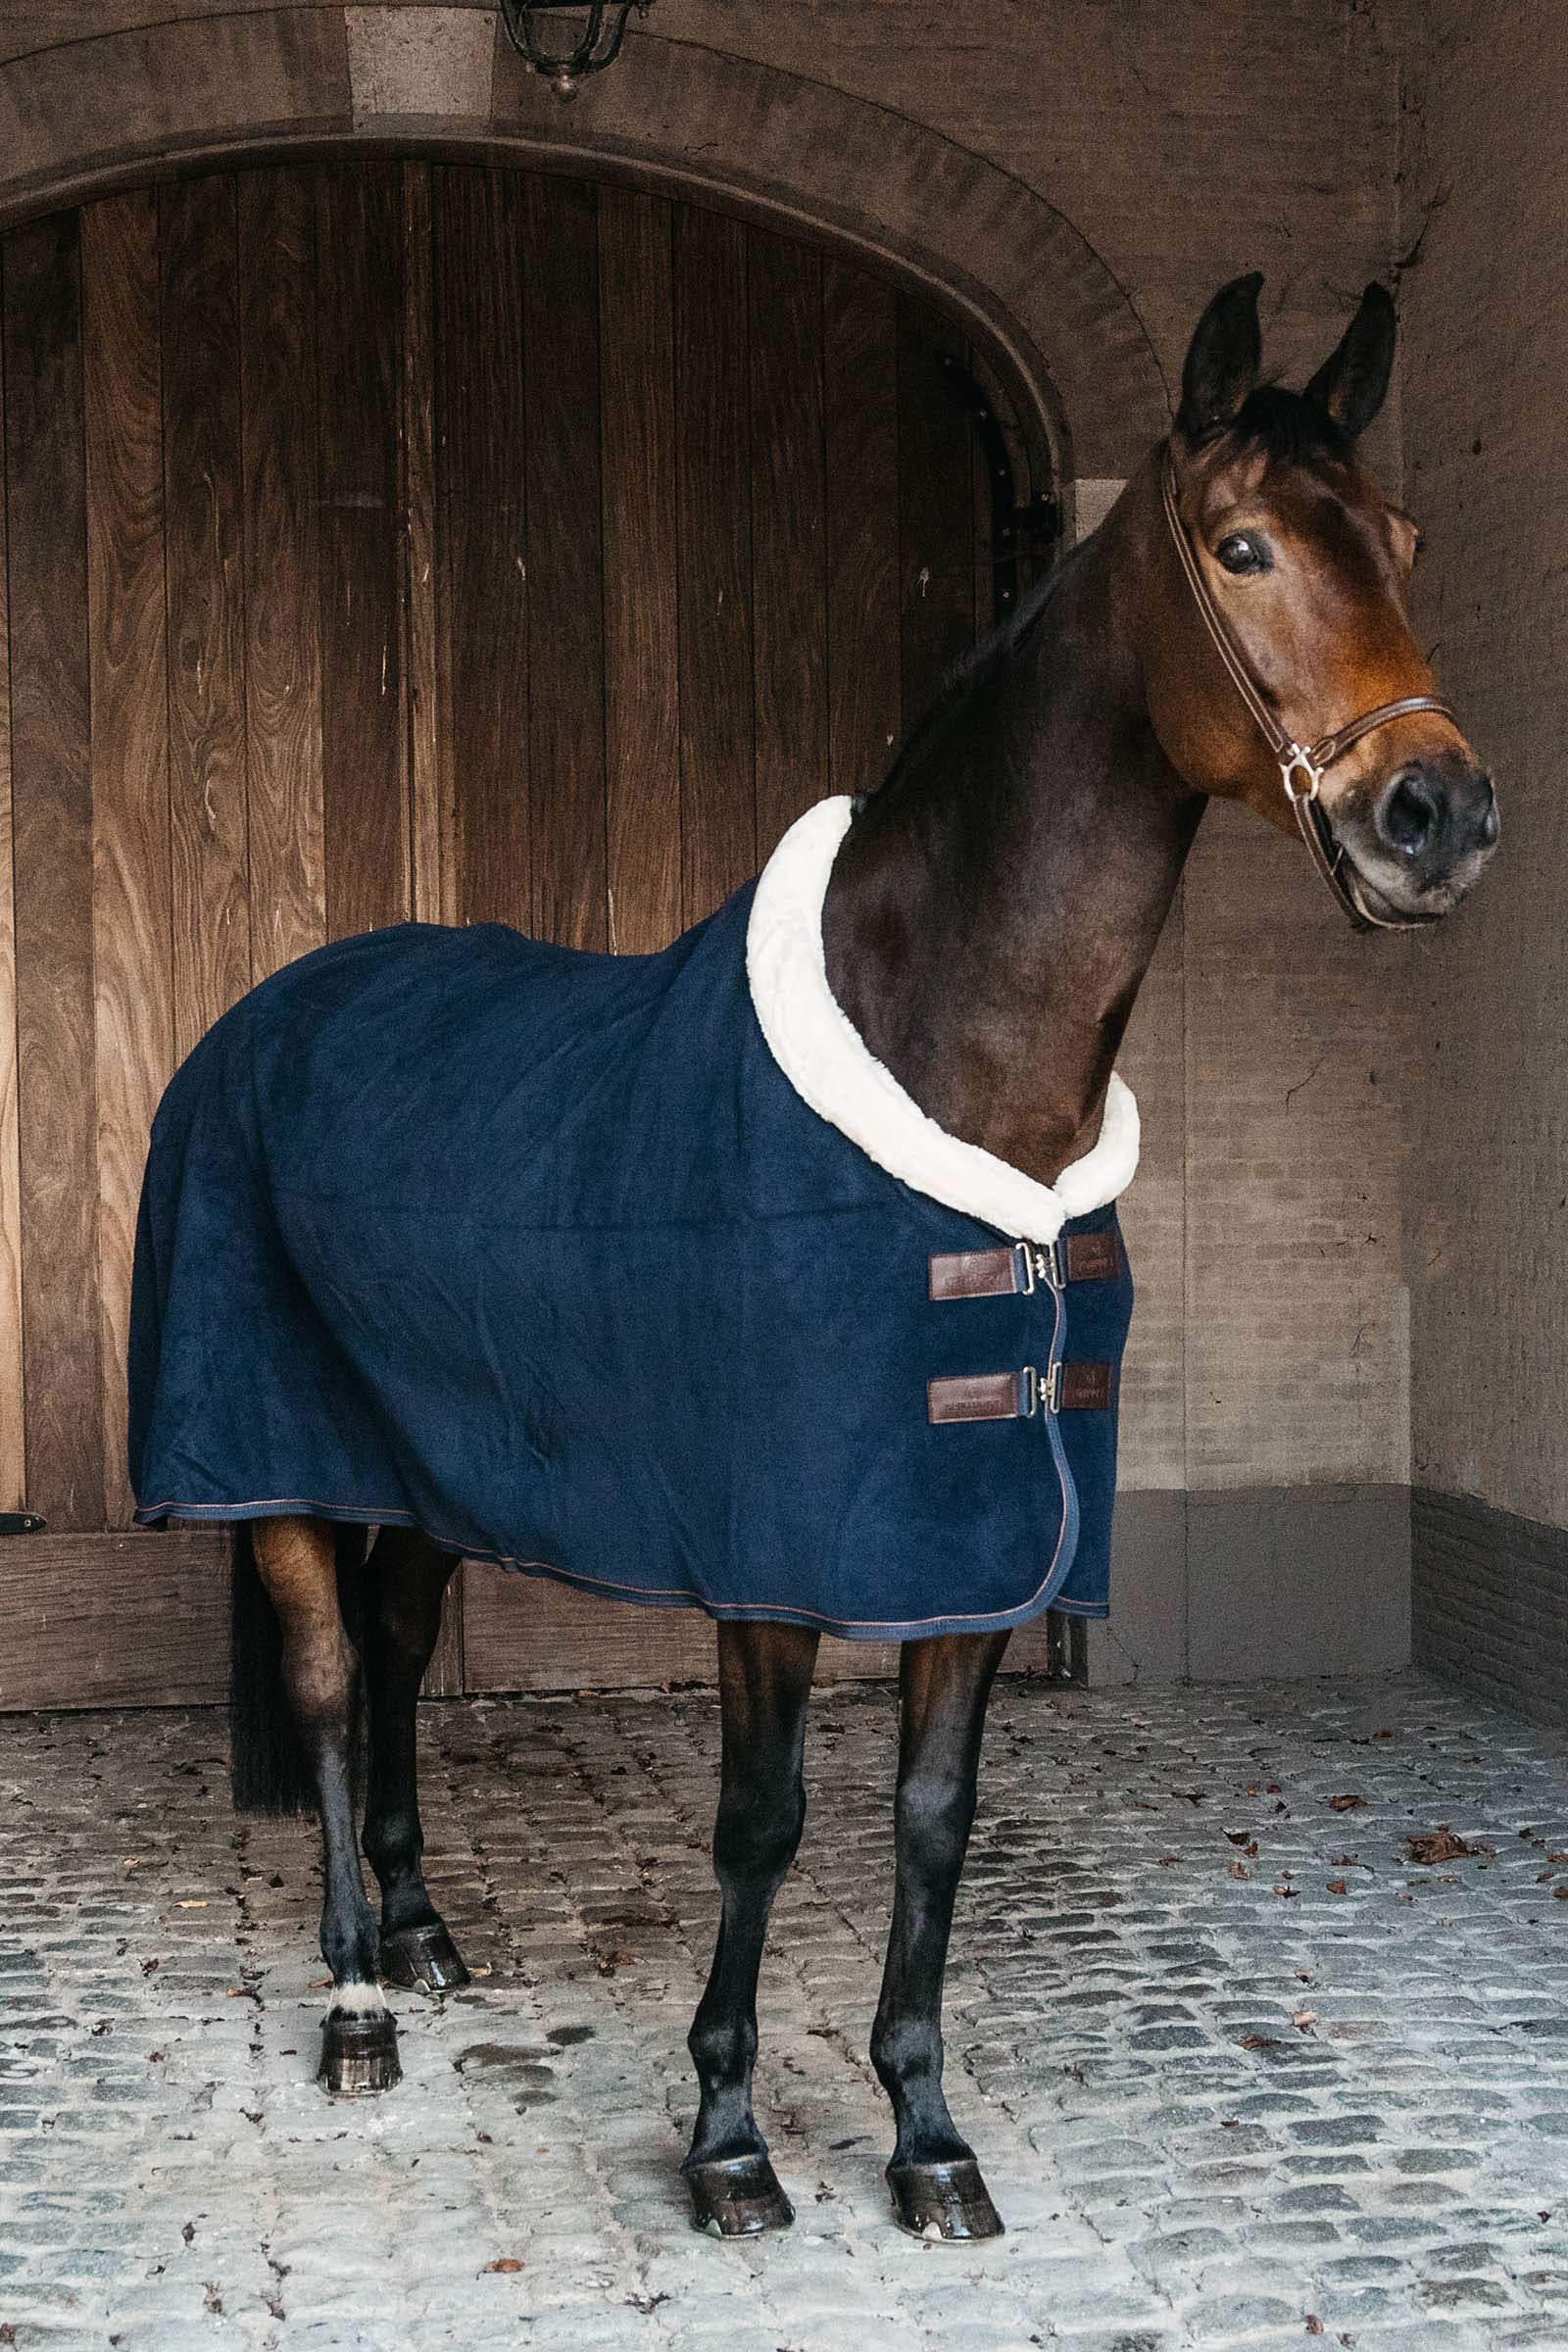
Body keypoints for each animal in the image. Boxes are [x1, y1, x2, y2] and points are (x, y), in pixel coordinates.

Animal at [129, 270, 1498, 2245]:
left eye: (1397, 538)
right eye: (1244, 547)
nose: (1438, 817)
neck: (950, 1070)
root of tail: (261, 1017)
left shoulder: (980, 1546)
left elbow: (932, 1816)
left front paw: (927, 2136)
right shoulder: (768, 1562)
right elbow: (762, 1825)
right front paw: (726, 2136)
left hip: (431, 1460)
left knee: (392, 1649)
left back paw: (428, 1927)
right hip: (277, 1454)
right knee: (322, 1682)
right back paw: (359, 1998)